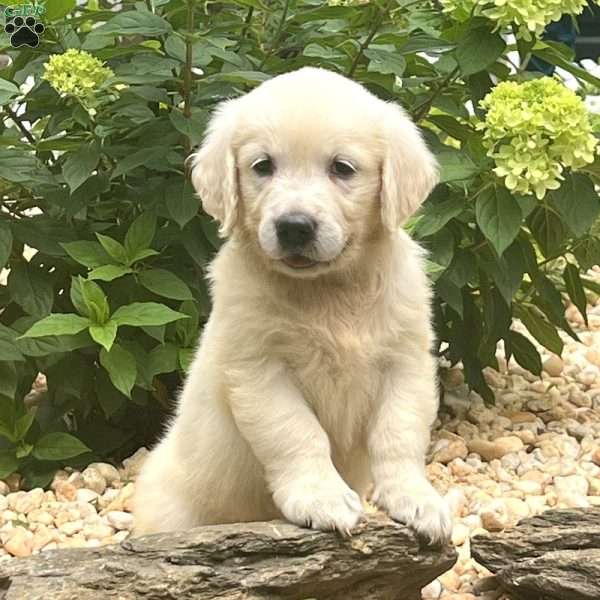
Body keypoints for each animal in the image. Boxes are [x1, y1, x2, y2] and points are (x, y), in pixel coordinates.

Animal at [131, 67, 450, 544]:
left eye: (342, 168)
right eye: (263, 166)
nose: (294, 227)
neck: (327, 292)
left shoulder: (405, 360)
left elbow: (399, 433)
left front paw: (417, 499)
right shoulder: (260, 368)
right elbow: (297, 433)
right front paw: (322, 498)